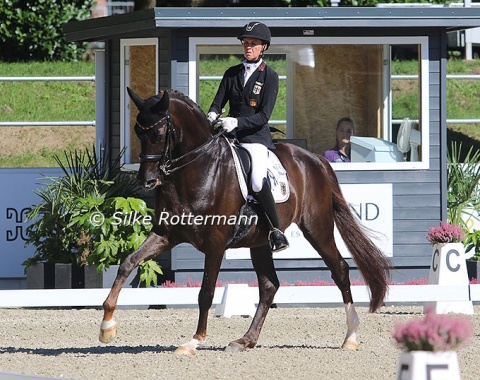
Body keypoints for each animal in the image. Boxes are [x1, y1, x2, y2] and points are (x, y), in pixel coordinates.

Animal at [99, 87, 392, 354]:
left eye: (159, 134)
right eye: (137, 131)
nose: (147, 180)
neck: (196, 169)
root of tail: (315, 159)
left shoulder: (215, 244)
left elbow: (206, 292)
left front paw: (194, 341)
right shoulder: (165, 234)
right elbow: (127, 264)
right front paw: (107, 325)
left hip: (316, 228)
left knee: (340, 270)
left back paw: (350, 336)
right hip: (260, 242)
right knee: (270, 286)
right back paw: (246, 340)